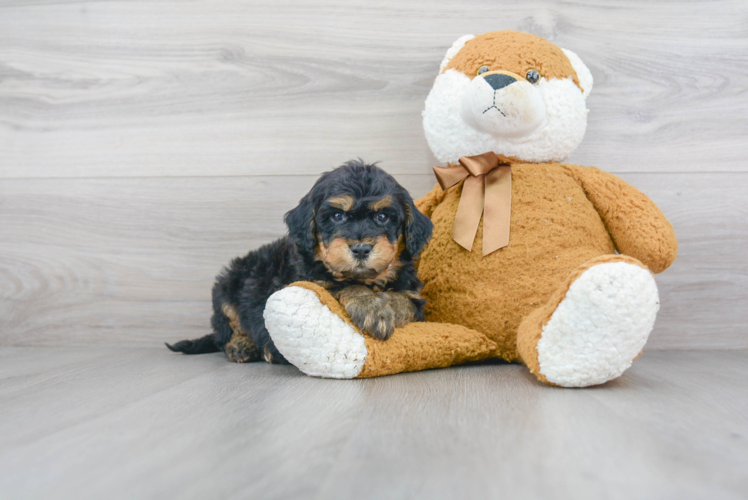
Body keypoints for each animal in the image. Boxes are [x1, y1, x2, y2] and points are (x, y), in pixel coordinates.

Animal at [164, 160, 432, 364]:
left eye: (383, 217)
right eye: (337, 216)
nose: (361, 248)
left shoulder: (415, 299)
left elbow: (405, 300)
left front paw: (385, 306)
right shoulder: (307, 281)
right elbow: (338, 285)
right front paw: (370, 305)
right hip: (227, 289)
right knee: (228, 330)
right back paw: (242, 345)